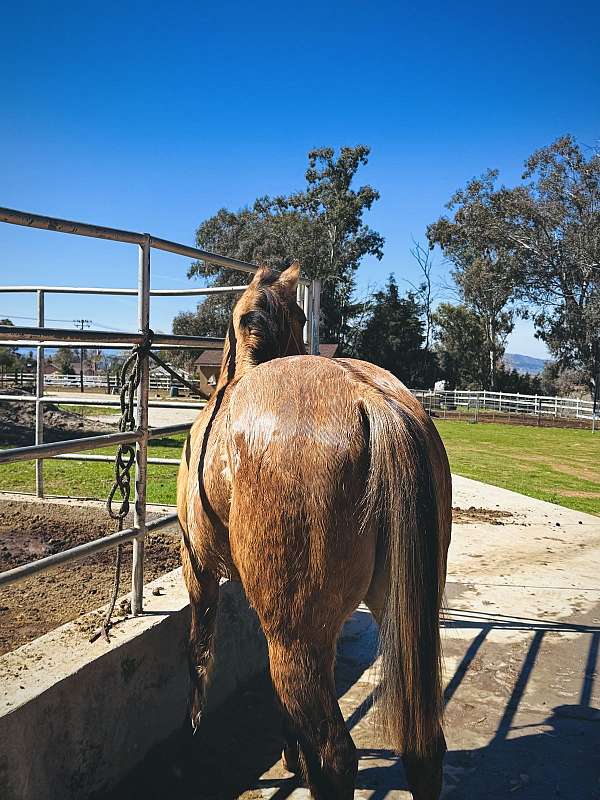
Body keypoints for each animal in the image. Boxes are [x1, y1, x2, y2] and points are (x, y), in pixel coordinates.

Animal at [177, 260, 450, 796]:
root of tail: (375, 404)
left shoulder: (198, 568)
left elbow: (199, 651)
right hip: (397, 612)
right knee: (424, 747)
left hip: (296, 637)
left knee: (336, 756)